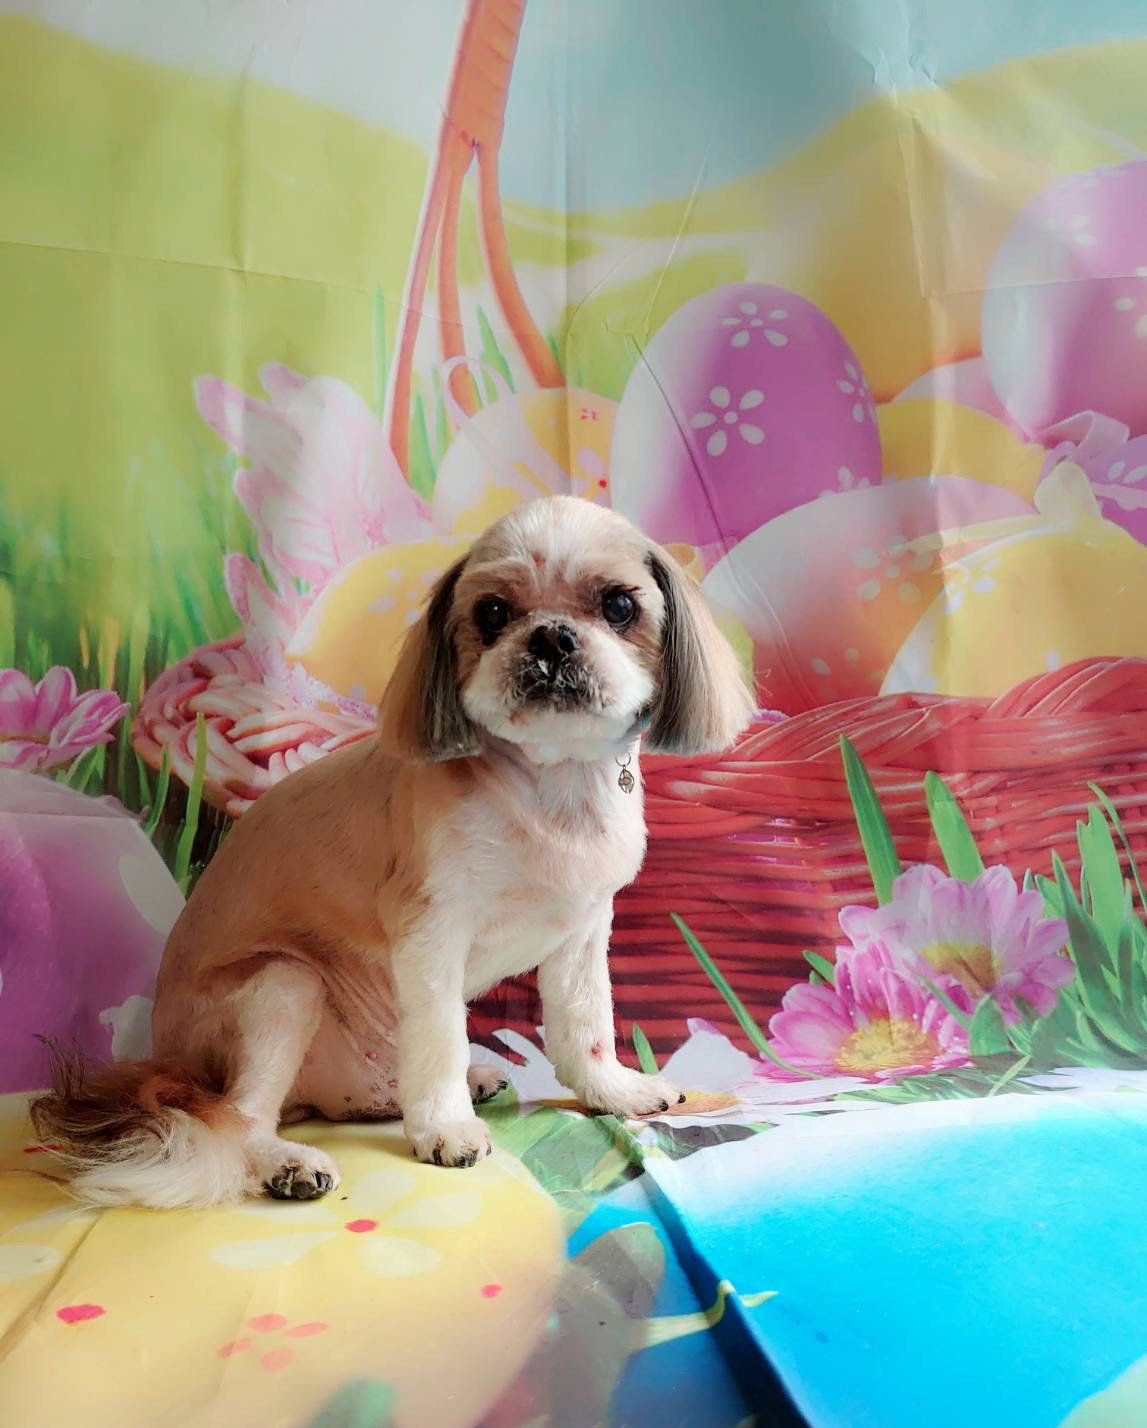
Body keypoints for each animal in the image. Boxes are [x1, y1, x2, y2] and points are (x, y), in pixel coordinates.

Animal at [32, 495, 755, 1207]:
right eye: (492, 613)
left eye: (619, 606)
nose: (550, 636)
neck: (550, 787)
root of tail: (168, 1063)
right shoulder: (430, 932)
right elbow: (439, 1040)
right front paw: (443, 1129)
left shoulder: (581, 932)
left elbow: (586, 1028)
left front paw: (614, 1092)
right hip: (284, 984)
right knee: (240, 1119)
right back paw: (286, 1162)